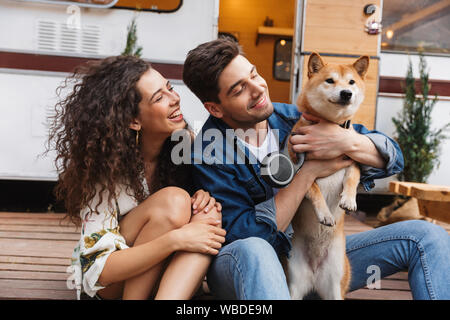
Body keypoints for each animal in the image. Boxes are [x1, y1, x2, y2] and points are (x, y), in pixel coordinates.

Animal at [286, 52, 368, 300]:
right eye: (330, 81)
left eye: (351, 82)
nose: (346, 93)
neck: (331, 126)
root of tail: (314, 274)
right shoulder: (302, 171)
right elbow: (314, 191)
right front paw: (324, 214)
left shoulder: (352, 162)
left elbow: (352, 179)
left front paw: (349, 200)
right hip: (293, 284)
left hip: (335, 284)